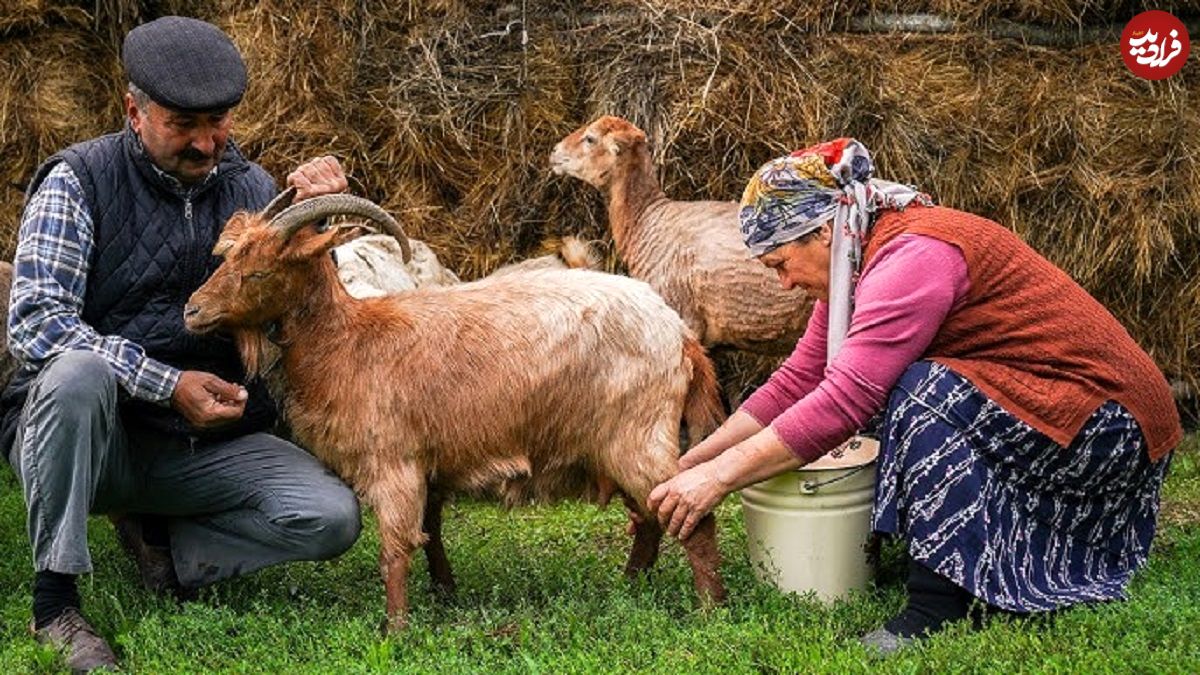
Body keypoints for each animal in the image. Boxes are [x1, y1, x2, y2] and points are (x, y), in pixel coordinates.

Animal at [186, 192, 724, 629]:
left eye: (260, 271)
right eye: (227, 258)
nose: (192, 311)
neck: (349, 341)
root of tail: (680, 336)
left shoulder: (394, 463)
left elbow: (395, 550)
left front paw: (395, 630)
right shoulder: (429, 465)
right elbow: (431, 534)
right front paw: (444, 593)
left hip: (637, 437)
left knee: (689, 515)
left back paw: (709, 607)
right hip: (614, 446)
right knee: (649, 519)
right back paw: (632, 585)